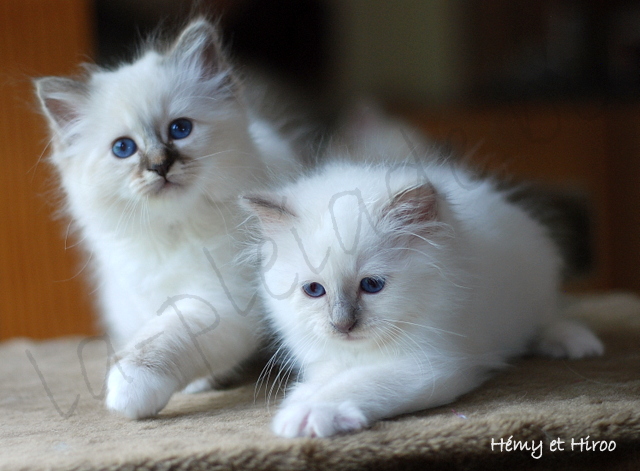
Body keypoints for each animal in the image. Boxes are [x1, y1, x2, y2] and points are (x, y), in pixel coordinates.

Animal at [35, 19, 296, 420]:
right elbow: (156, 333)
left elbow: (164, 338)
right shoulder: (145, 294)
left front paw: (130, 389)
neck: (171, 231)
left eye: (180, 129)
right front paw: (196, 385)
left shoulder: (218, 301)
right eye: (123, 148)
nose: (160, 165)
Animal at [241, 159, 604, 438]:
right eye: (314, 290)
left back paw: (576, 343)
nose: (342, 325)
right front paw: (300, 398)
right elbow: (327, 377)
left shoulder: (435, 364)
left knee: (548, 319)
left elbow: (360, 382)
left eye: (372, 285)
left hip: (537, 286)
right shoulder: (325, 358)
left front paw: (309, 413)